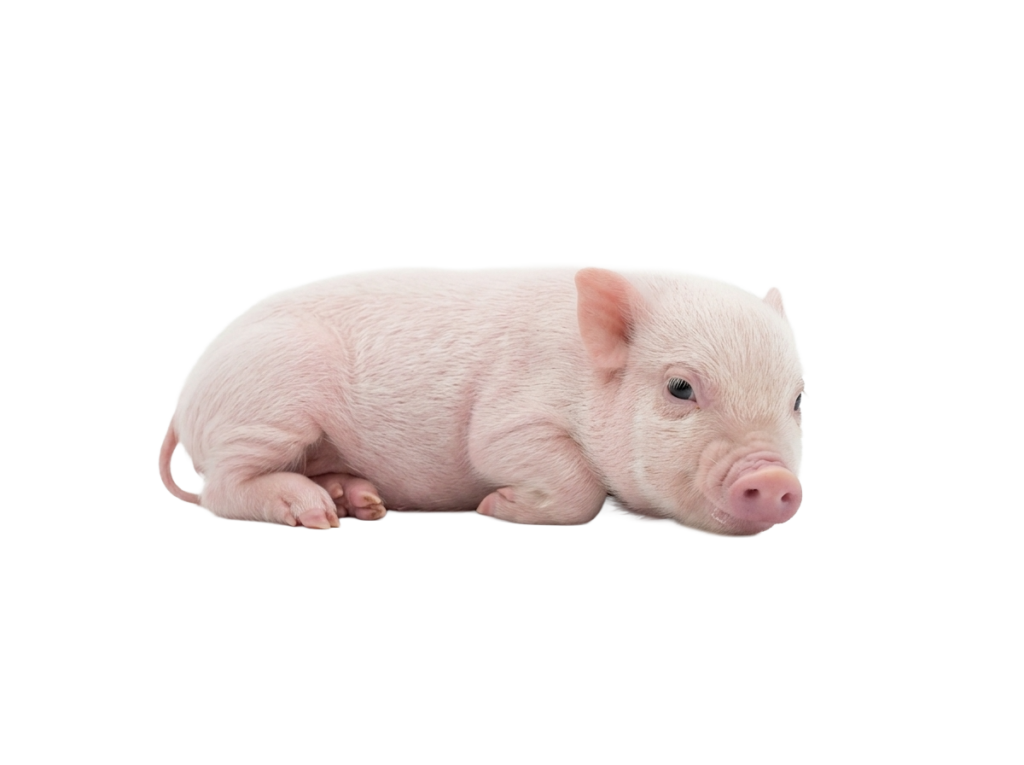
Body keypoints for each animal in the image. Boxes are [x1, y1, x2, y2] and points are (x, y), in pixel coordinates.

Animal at [157, 263, 808, 537]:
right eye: (680, 387)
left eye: (799, 398)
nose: (774, 478)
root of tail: (187, 395)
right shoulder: (508, 421)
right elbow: (571, 482)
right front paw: (494, 506)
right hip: (265, 406)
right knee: (223, 489)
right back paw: (318, 515)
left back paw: (361, 504)